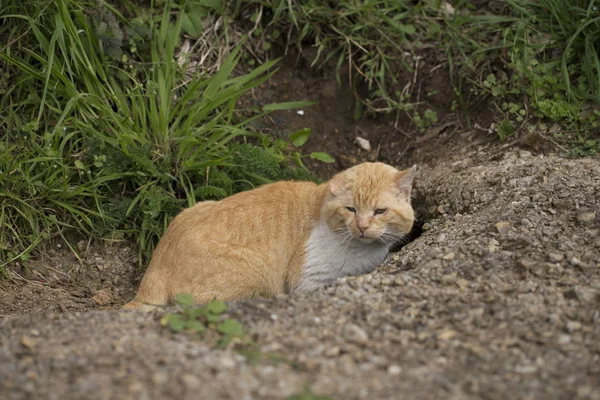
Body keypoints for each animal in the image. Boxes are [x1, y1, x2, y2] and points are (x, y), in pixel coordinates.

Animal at [120, 162, 414, 310]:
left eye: (379, 211)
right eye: (351, 209)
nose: (362, 226)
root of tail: (155, 269)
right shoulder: (308, 281)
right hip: (254, 274)